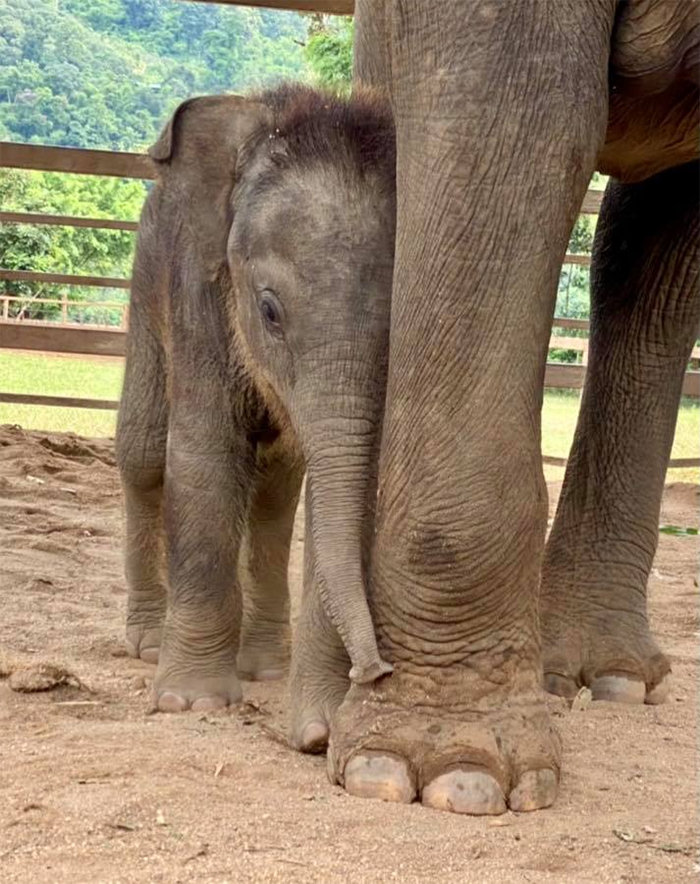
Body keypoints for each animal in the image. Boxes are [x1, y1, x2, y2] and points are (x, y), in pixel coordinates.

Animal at [117, 84, 396, 744]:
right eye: (270, 312)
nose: (377, 671)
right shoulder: (195, 290)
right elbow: (205, 457)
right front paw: (190, 702)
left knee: (275, 489)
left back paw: (266, 665)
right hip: (144, 281)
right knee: (143, 455)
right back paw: (145, 642)